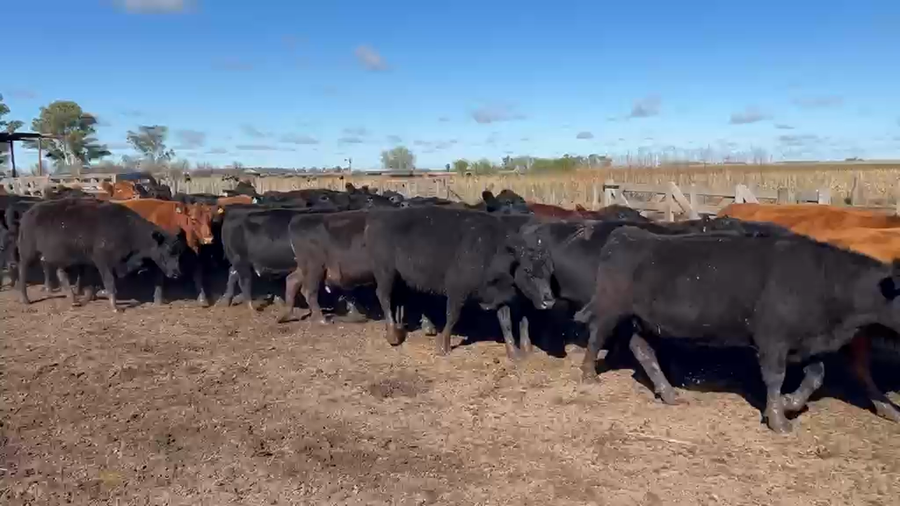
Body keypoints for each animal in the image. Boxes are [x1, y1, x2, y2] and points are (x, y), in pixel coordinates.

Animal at [17, 198, 183, 312]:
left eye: (179, 252)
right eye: (168, 250)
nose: (176, 273)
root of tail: (29, 212)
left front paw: (96, 294)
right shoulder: (102, 260)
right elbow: (109, 281)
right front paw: (114, 306)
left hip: (61, 257)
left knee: (60, 273)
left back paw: (73, 298)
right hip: (27, 253)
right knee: (22, 272)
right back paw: (25, 299)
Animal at [364, 206, 556, 359]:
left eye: (550, 271)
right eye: (528, 271)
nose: (549, 301)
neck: (495, 251)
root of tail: (376, 221)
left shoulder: (501, 296)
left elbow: (506, 323)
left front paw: (513, 353)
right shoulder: (457, 291)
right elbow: (452, 316)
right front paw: (443, 346)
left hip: (401, 279)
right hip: (385, 273)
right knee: (384, 296)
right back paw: (392, 335)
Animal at [579, 226, 900, 432]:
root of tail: (627, 234)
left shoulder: (809, 342)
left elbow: (815, 376)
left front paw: (790, 403)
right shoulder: (772, 339)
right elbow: (775, 378)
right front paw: (778, 419)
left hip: (642, 321)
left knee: (643, 351)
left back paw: (669, 393)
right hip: (610, 307)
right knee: (596, 336)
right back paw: (588, 375)